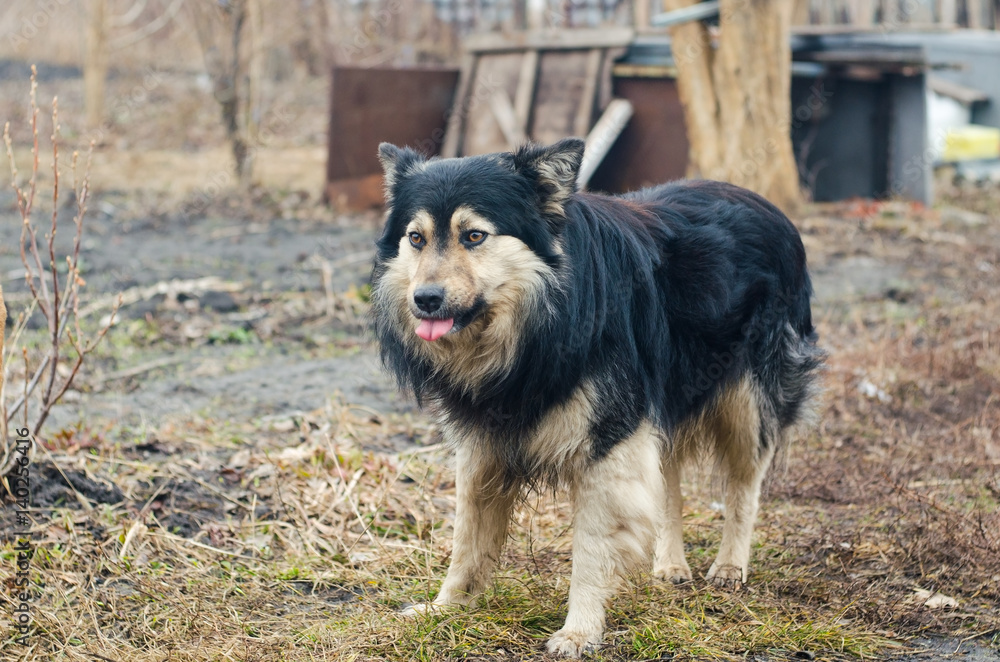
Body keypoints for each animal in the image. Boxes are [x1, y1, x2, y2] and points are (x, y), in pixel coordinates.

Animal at [370, 138, 823, 657]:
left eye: (474, 236)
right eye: (416, 239)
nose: (424, 300)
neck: (539, 324)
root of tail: (768, 206)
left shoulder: (608, 444)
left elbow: (590, 550)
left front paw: (579, 631)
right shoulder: (482, 444)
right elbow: (467, 536)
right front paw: (446, 608)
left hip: (748, 402)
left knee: (745, 484)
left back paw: (730, 567)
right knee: (669, 482)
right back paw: (670, 565)